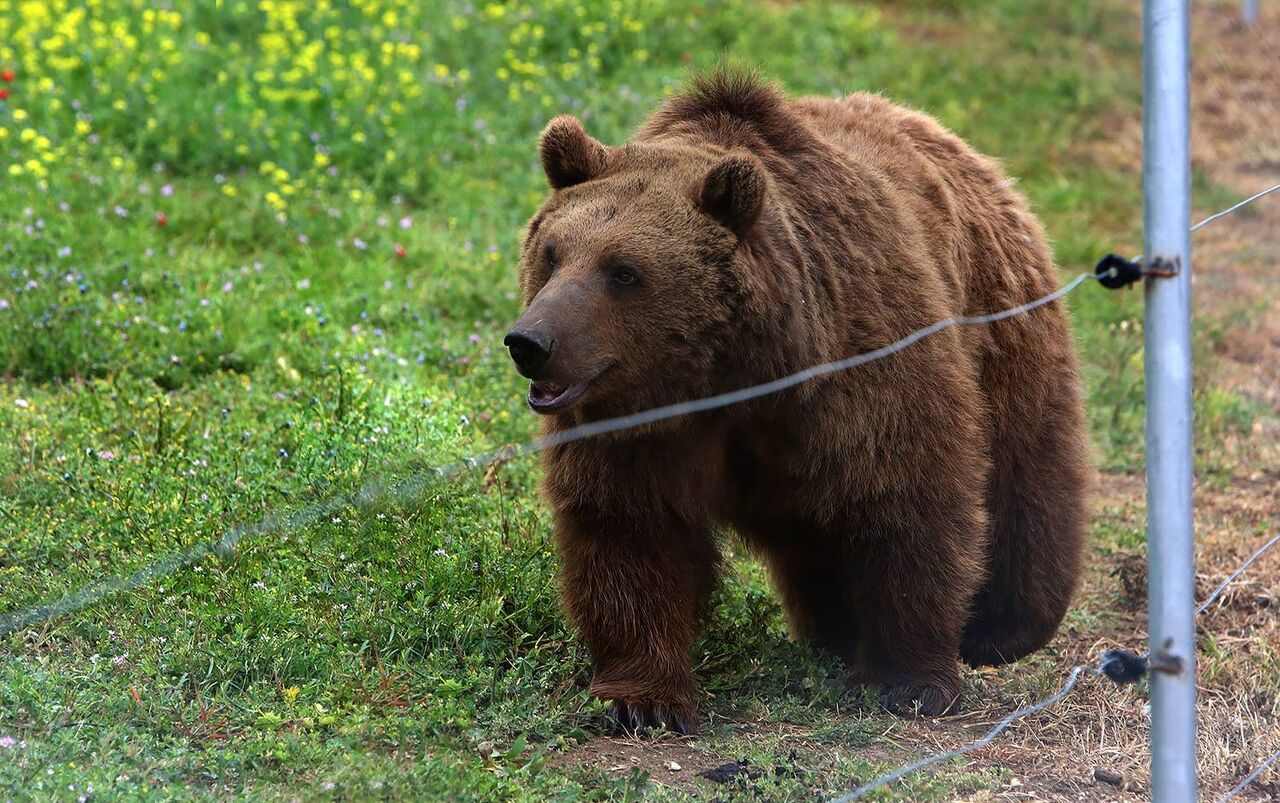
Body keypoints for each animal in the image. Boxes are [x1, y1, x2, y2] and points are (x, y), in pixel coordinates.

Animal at [499, 70, 1090, 737]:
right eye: (551, 253)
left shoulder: (864, 366)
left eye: (622, 271)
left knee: (1026, 476)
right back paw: (835, 627)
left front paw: (909, 680)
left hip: (1003, 327)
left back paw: (1004, 627)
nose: (531, 343)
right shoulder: (641, 424)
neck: (732, 373)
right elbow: (631, 527)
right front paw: (642, 698)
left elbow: (909, 499)